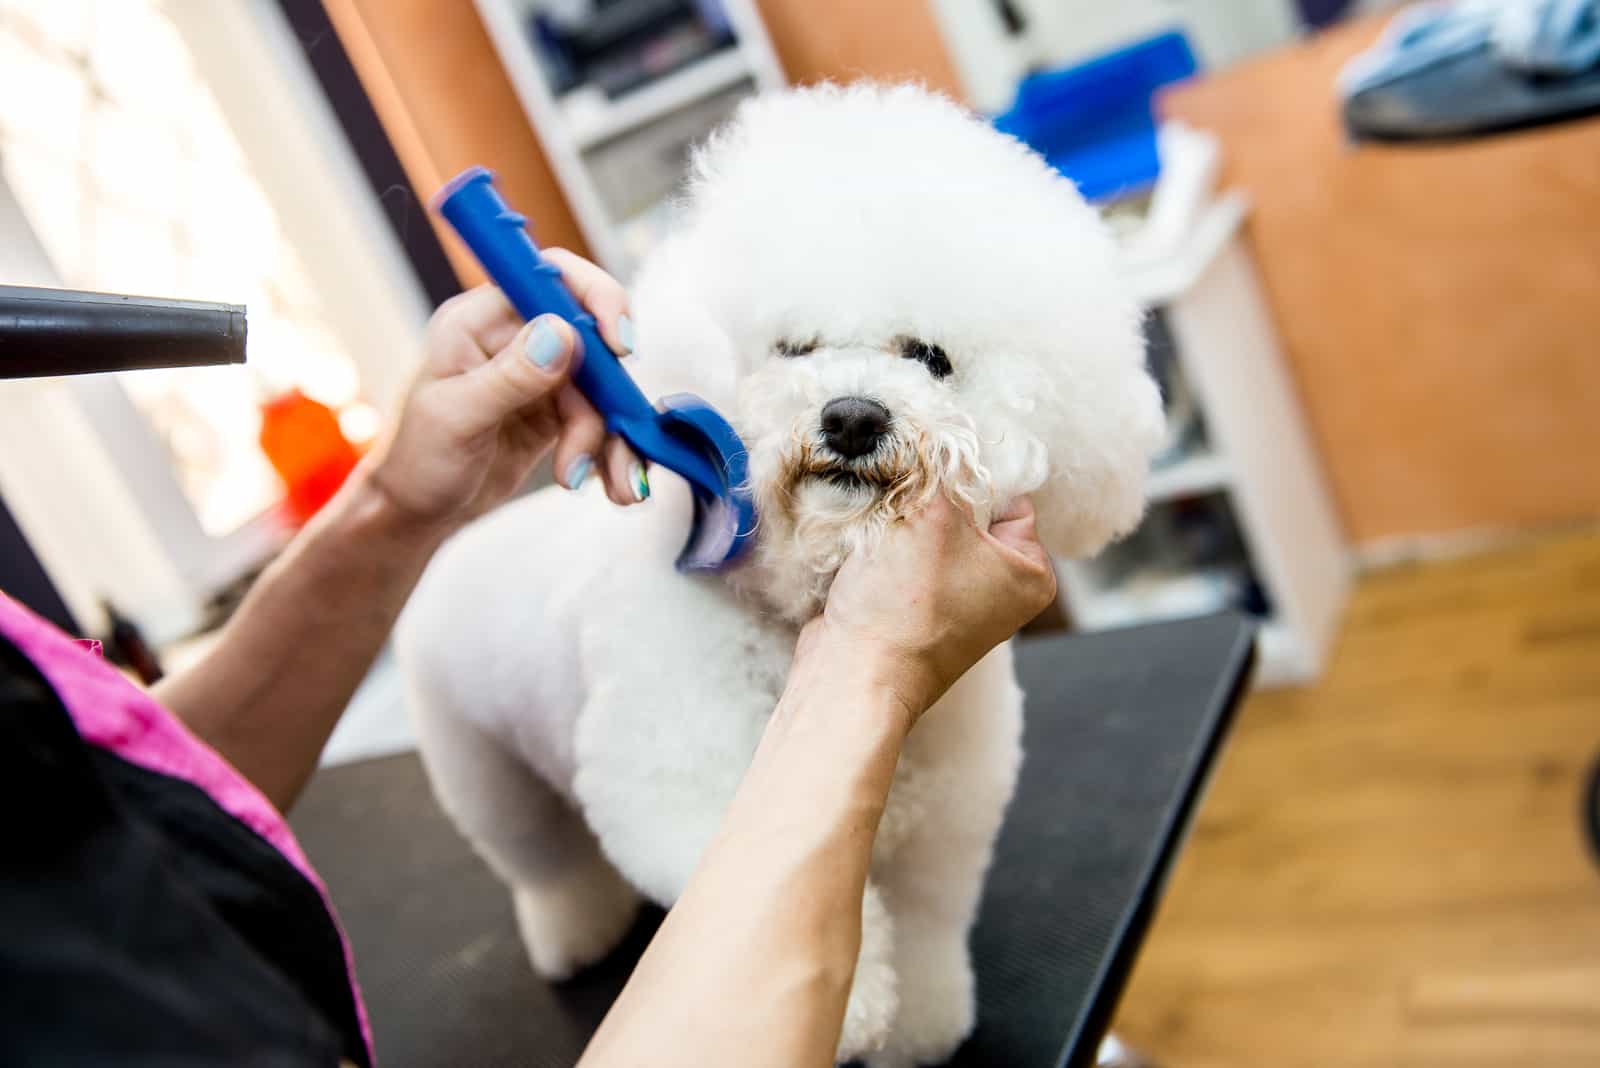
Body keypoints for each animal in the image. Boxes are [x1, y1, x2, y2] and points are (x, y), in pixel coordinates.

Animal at [390, 81, 1164, 1061]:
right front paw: (856, 1009)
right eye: (795, 349)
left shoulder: (944, 827)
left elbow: (927, 926)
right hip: (484, 770)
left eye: (930, 357)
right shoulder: (686, 785)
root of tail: (459, 548)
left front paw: (919, 1026)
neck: (795, 620)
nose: (852, 417)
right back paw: (573, 934)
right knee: (545, 863)